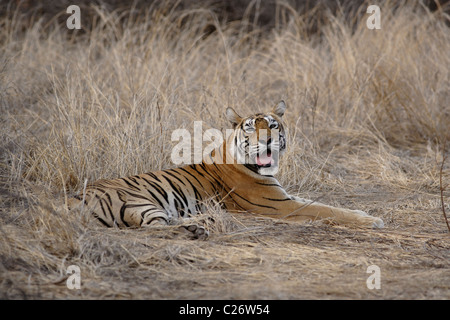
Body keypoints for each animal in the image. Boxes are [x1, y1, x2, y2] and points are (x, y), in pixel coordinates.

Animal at [68, 100, 384, 238]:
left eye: (272, 125)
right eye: (251, 127)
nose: (267, 140)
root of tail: (70, 201)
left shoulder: (285, 197)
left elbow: (326, 204)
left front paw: (364, 213)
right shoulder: (280, 205)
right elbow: (325, 209)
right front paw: (372, 220)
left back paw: (202, 222)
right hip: (139, 202)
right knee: (155, 228)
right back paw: (199, 226)